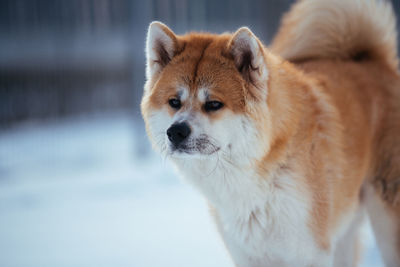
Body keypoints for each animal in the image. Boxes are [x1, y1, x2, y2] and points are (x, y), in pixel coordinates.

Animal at [141, 0, 400, 266]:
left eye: (213, 104)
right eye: (174, 102)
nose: (176, 132)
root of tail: (371, 62)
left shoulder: (310, 253)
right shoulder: (248, 255)